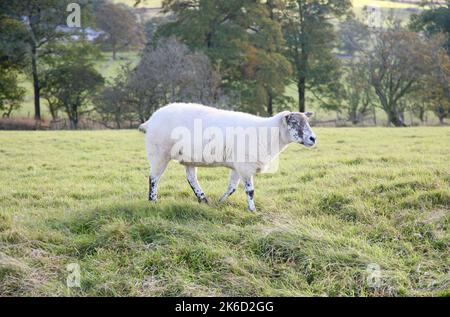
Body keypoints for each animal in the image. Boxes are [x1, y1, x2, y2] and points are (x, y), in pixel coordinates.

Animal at [141, 103, 316, 210]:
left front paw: (220, 202)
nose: (313, 138)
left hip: (188, 158)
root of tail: (150, 120)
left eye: (307, 122)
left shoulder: (237, 167)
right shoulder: (245, 166)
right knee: (153, 178)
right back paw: (153, 200)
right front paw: (252, 210)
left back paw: (203, 199)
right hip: (158, 153)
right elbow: (250, 190)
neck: (268, 133)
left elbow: (231, 188)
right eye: (295, 123)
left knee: (191, 178)